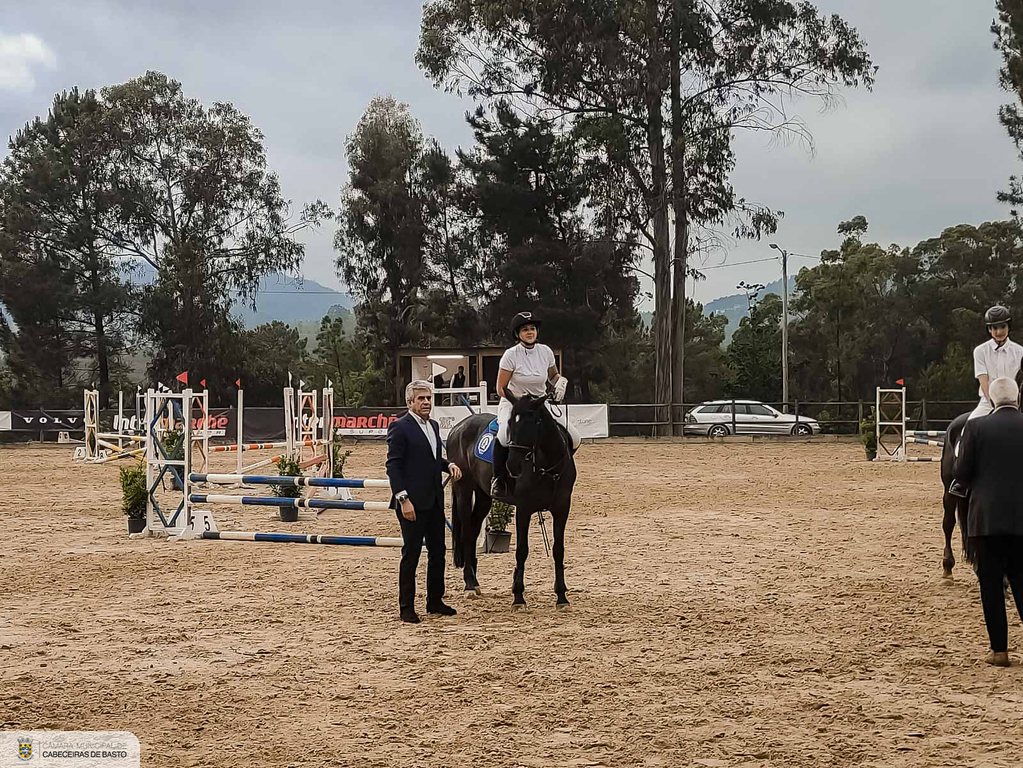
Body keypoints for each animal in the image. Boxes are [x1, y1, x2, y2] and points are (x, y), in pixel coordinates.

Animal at [446, 392, 576, 609]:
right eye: (511, 425)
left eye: (531, 422)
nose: (513, 465)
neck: (549, 468)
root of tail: (459, 427)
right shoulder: (524, 509)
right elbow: (522, 550)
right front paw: (518, 597)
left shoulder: (562, 508)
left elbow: (559, 550)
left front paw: (561, 597)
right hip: (463, 489)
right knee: (465, 533)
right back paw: (470, 586)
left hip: (484, 497)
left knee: (472, 531)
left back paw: (474, 582)